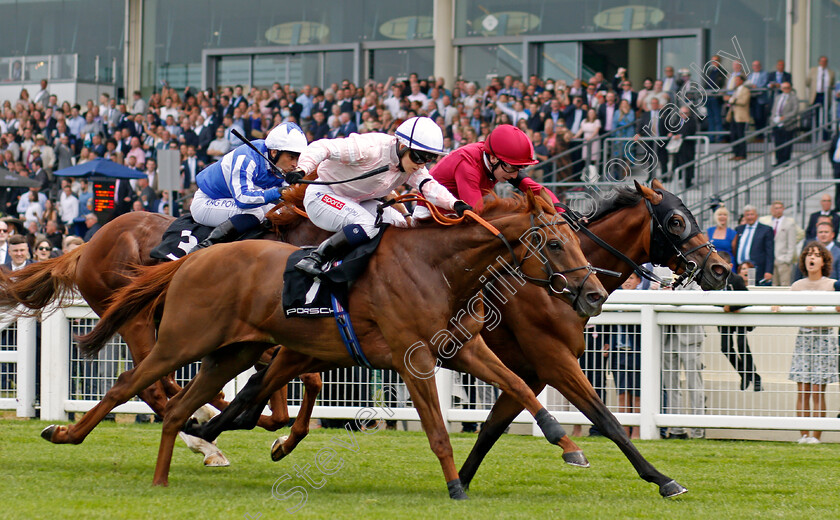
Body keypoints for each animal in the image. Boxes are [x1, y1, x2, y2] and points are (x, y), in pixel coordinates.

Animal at [41, 195, 612, 496]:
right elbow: (436, 429)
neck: (437, 267)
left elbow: (519, 385)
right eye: (555, 242)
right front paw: (455, 486)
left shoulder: (463, 346)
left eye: (578, 238)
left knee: (178, 404)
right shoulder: (414, 358)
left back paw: (169, 470)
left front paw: (566, 442)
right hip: (179, 339)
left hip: (230, 352)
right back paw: (65, 433)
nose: (593, 292)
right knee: (130, 385)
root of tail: (192, 258)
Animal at [184, 180, 728, 500]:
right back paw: (206, 431)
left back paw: (219, 432)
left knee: (257, 391)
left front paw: (463, 477)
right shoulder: (554, 361)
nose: (721, 268)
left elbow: (492, 427)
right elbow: (608, 420)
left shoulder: (526, 371)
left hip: (310, 347)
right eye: (676, 220)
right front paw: (662, 479)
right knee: (255, 389)